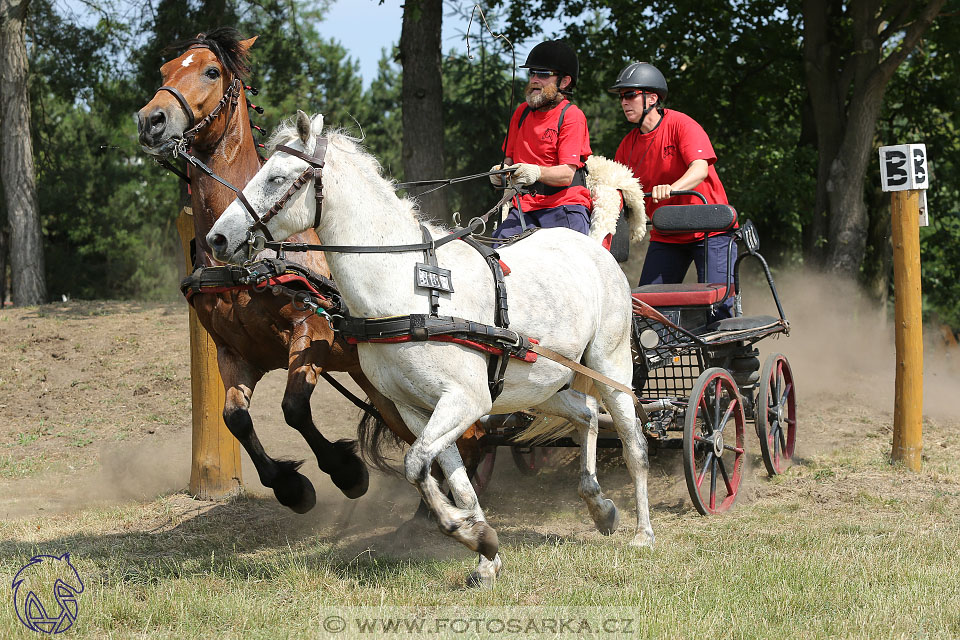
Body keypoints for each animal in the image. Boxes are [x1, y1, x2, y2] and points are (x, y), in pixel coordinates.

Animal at [135, 28, 480, 516]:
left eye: (211, 70)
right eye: (165, 70)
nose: (151, 121)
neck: (250, 262)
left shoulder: (312, 331)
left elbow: (294, 408)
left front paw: (345, 472)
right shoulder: (232, 351)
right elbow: (235, 418)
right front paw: (288, 485)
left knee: (469, 435)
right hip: (383, 386)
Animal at [206, 112, 656, 588]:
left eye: (275, 177)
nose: (217, 239)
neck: (407, 288)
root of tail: (593, 244)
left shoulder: (464, 400)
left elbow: (416, 465)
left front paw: (466, 533)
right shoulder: (416, 408)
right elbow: (457, 482)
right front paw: (486, 552)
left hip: (611, 367)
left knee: (633, 442)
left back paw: (643, 533)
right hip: (541, 386)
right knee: (585, 415)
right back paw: (600, 507)